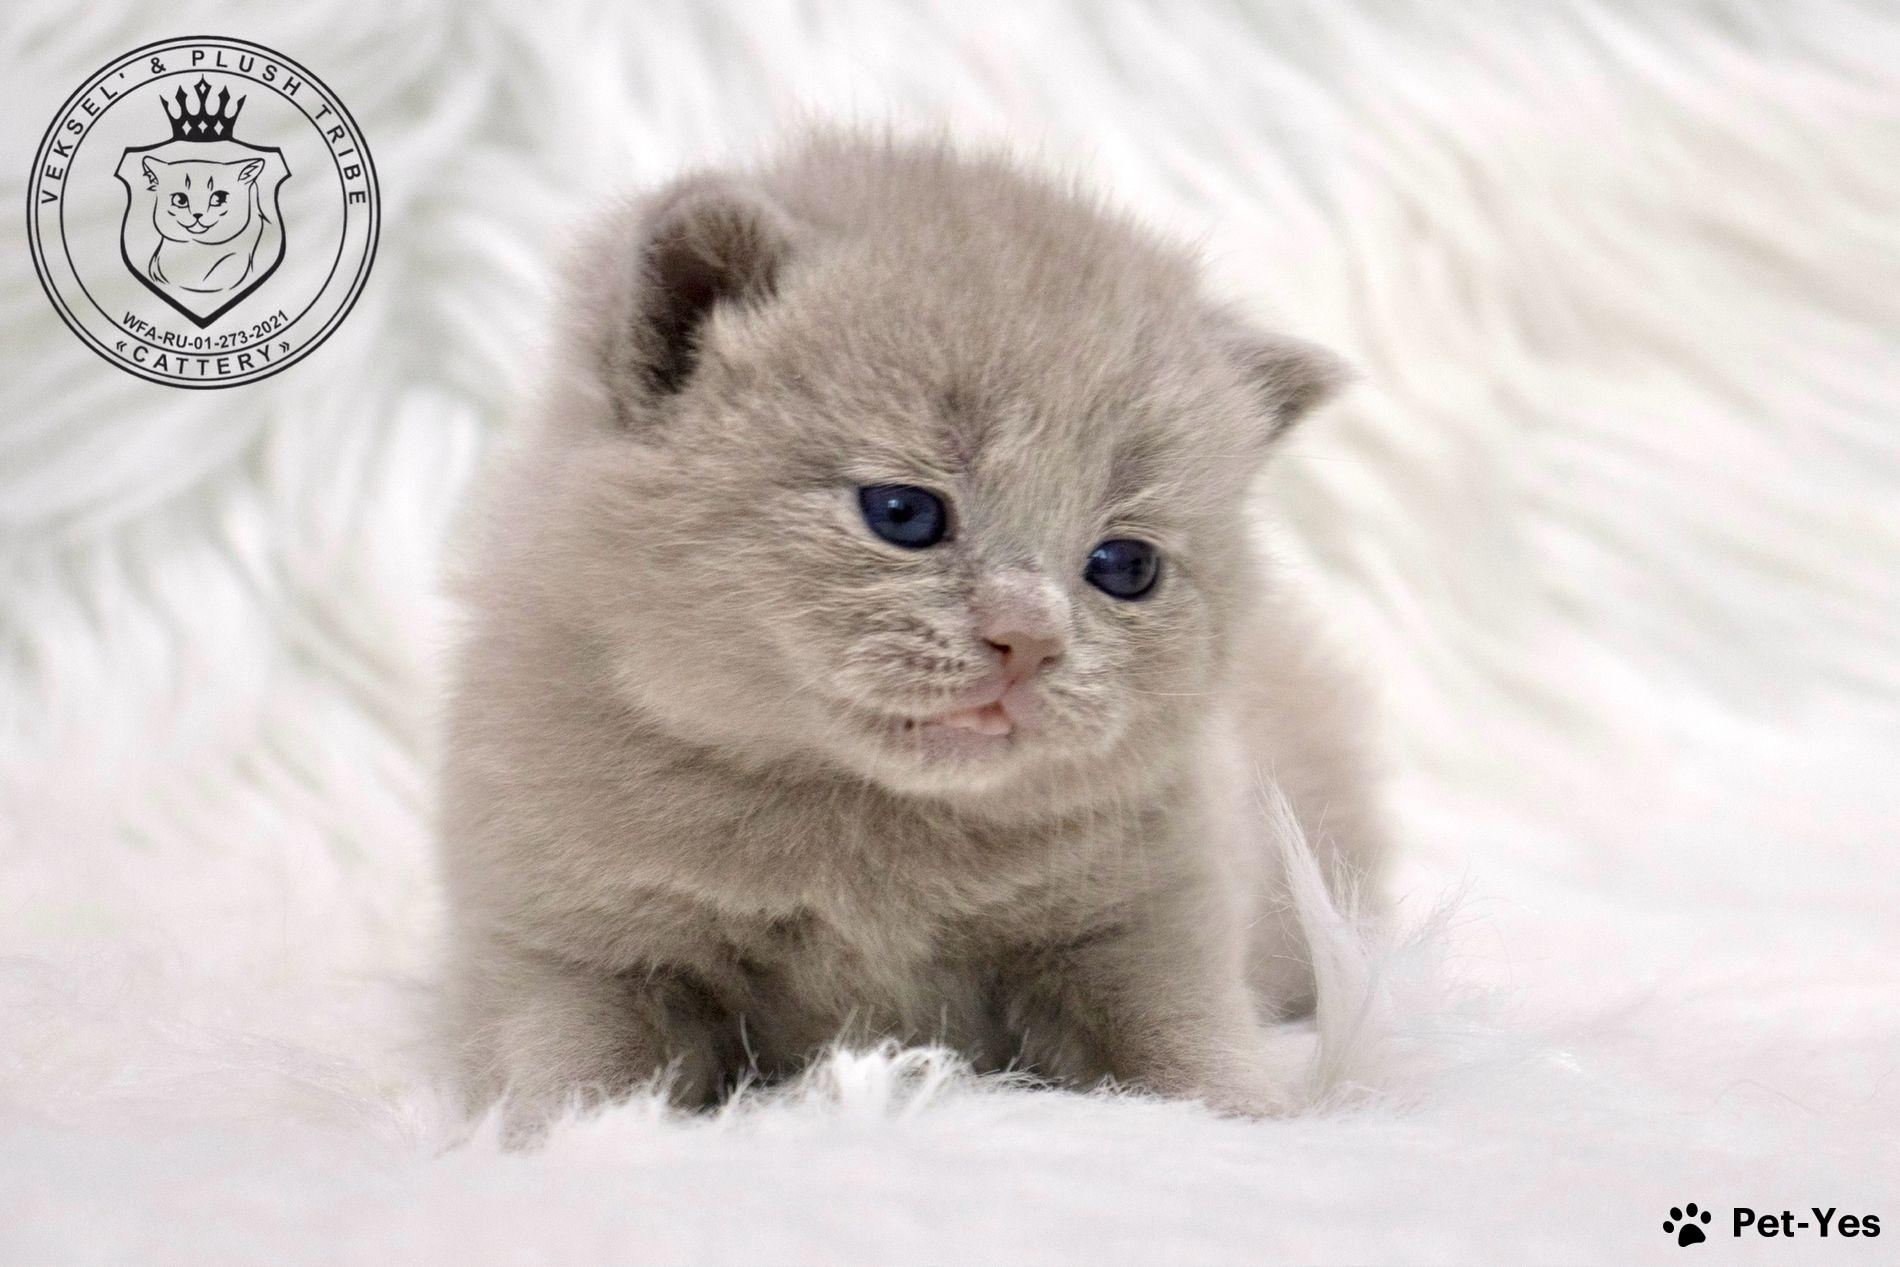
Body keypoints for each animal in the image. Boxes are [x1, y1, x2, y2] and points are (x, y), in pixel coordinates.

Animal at [438, 136, 1388, 1140]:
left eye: (1126, 565)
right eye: (903, 512)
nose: (1030, 637)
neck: (869, 831)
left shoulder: (1154, 912)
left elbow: (1184, 1029)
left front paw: (1251, 1121)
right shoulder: (566, 938)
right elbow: (571, 1061)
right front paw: (577, 1140)